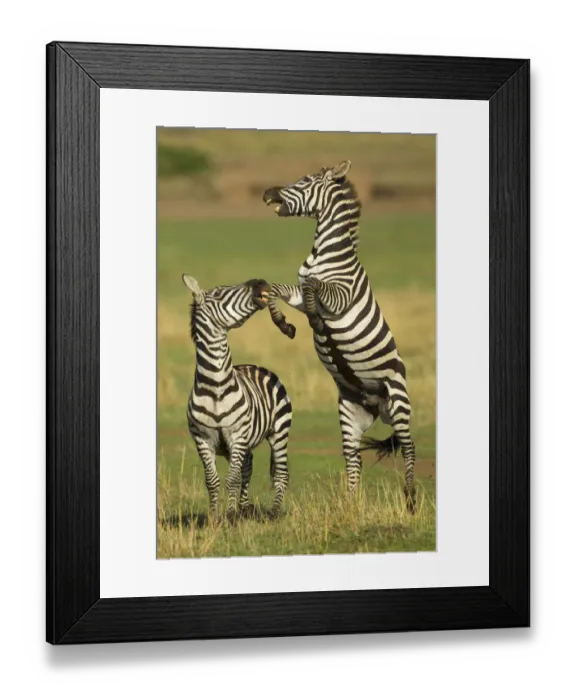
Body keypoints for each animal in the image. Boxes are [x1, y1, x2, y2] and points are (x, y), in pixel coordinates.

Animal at [182, 274, 292, 520]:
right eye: (219, 293)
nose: (261, 281)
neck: (215, 387)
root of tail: (253, 365)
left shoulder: (237, 435)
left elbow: (231, 479)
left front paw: (230, 517)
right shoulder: (203, 439)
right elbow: (212, 481)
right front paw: (215, 518)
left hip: (279, 432)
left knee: (280, 474)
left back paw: (273, 512)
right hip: (246, 443)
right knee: (247, 468)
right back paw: (244, 507)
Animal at [262, 160, 417, 512]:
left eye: (305, 181)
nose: (267, 192)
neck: (324, 254)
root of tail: (378, 404)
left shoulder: (339, 296)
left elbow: (312, 286)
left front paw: (316, 323)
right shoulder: (296, 291)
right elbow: (276, 289)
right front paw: (284, 324)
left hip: (400, 401)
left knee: (410, 447)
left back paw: (411, 500)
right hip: (350, 411)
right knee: (352, 457)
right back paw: (351, 504)